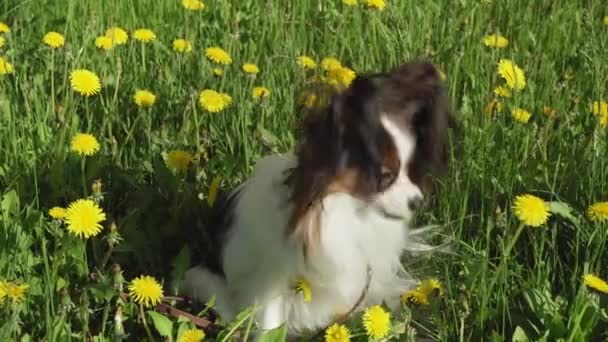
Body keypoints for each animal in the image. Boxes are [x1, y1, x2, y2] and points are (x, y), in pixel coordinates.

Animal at [180, 60, 452, 338]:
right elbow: (269, 323)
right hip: (201, 279)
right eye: (385, 176)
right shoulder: (271, 279)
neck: (348, 208)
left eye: (410, 170)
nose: (416, 200)